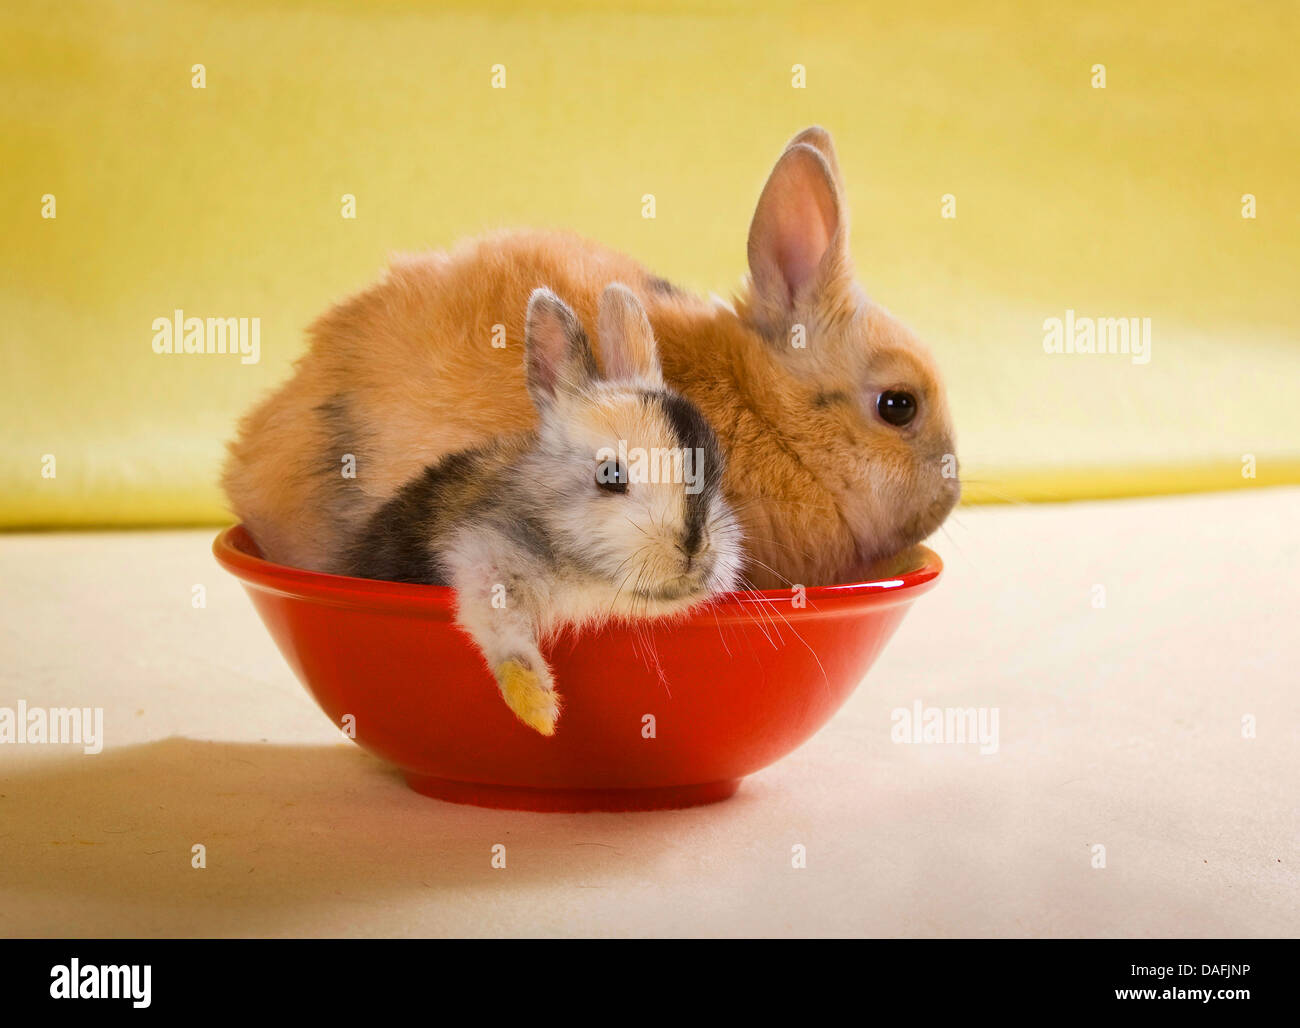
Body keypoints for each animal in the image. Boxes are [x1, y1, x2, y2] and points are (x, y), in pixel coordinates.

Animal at [345, 285, 744, 736]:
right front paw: (540, 712)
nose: (694, 547)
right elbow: (502, 633)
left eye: (717, 468)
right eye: (610, 475)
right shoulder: (484, 560)